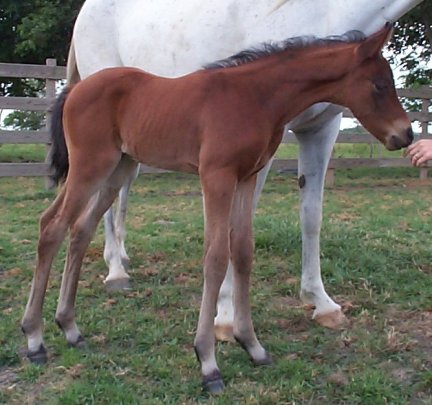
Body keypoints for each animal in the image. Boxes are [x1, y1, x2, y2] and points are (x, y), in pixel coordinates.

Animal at [21, 26, 412, 392]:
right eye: (379, 84)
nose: (405, 135)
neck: (254, 97)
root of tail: (74, 90)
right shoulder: (216, 176)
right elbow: (216, 255)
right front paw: (208, 362)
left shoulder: (246, 177)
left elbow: (242, 252)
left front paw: (252, 346)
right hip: (90, 166)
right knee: (51, 226)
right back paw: (34, 339)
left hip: (118, 168)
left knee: (80, 229)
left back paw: (70, 328)